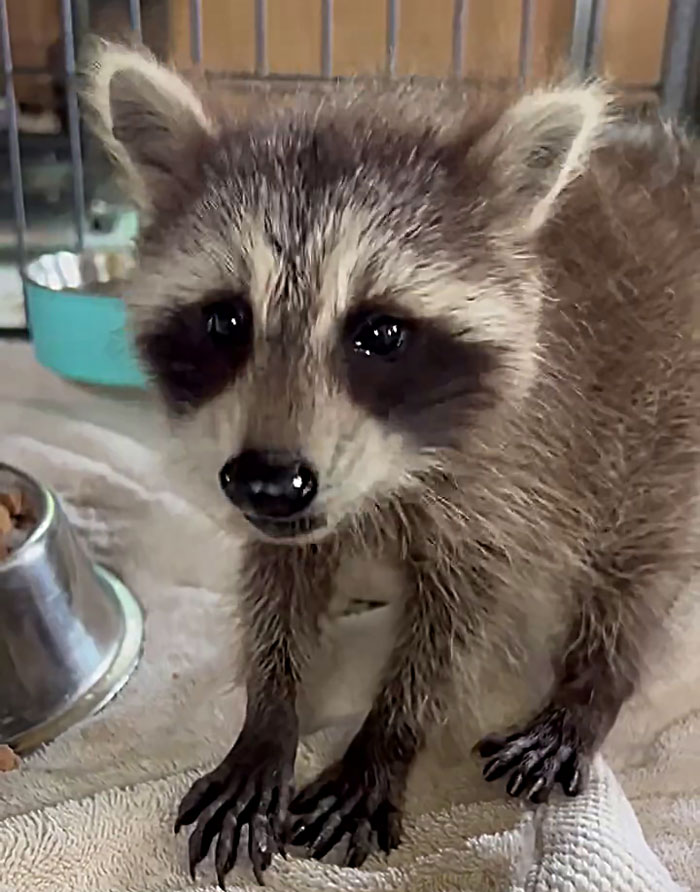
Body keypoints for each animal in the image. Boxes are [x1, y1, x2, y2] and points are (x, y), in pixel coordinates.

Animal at [84, 40, 700, 886]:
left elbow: (462, 626)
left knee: (633, 573)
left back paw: (591, 687)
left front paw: (390, 734)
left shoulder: (512, 476)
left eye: (379, 332)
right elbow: (279, 584)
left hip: (661, 437)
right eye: (226, 320)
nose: (268, 483)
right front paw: (270, 710)